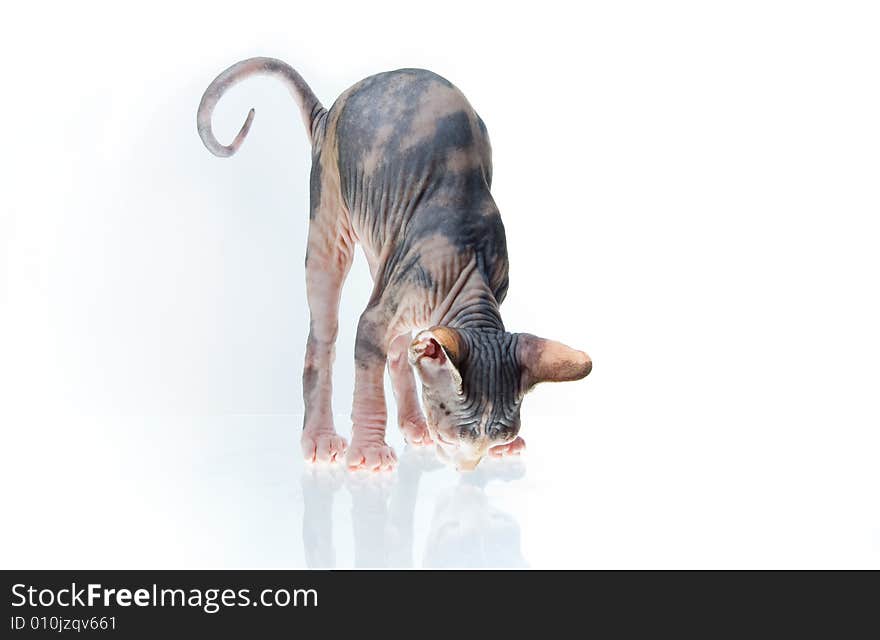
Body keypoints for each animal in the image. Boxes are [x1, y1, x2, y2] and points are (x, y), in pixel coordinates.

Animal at [199, 57, 592, 472]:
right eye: (452, 438)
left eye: (493, 439)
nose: (465, 469)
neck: (471, 271)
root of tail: (330, 112)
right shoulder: (389, 303)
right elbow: (367, 344)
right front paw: (370, 452)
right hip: (330, 213)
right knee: (325, 330)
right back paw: (319, 438)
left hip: (386, 238)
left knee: (397, 340)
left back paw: (411, 424)